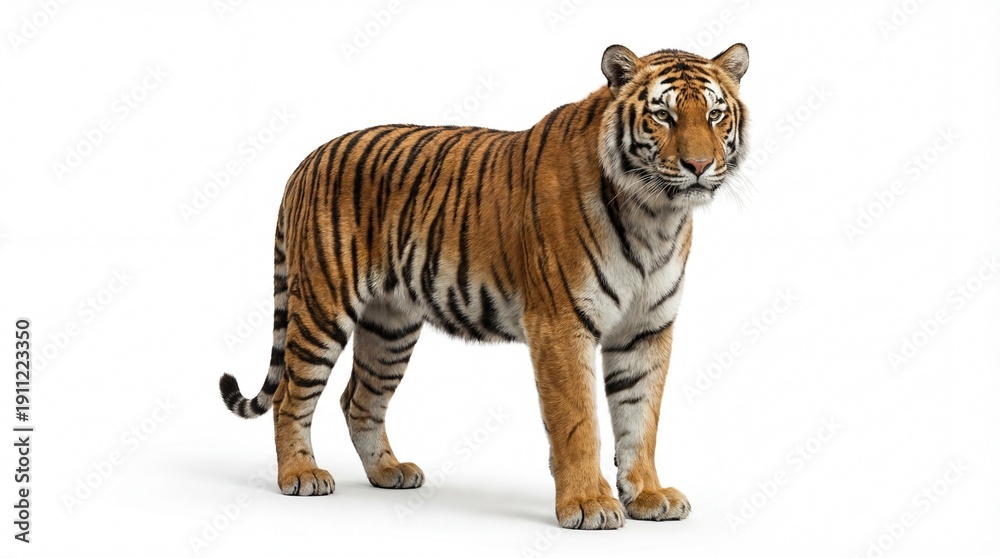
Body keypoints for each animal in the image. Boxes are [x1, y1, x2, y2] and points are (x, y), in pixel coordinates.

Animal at [219, 43, 749, 530]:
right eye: (663, 115)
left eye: (715, 114)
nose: (699, 165)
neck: (656, 215)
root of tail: (307, 159)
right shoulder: (561, 324)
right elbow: (578, 421)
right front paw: (588, 504)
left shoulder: (646, 329)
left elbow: (641, 419)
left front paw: (648, 495)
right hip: (322, 308)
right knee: (290, 395)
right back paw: (300, 475)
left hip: (391, 326)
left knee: (359, 399)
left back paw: (389, 472)